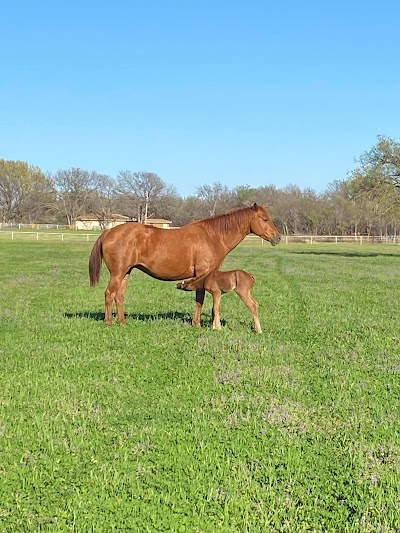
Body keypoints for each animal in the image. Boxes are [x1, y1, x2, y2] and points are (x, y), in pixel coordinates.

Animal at [89, 203, 280, 324]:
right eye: (264, 219)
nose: (277, 238)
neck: (212, 236)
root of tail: (108, 232)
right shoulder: (202, 274)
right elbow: (200, 299)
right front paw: (197, 323)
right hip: (117, 274)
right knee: (109, 294)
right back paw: (109, 322)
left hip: (126, 273)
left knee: (119, 296)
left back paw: (122, 322)